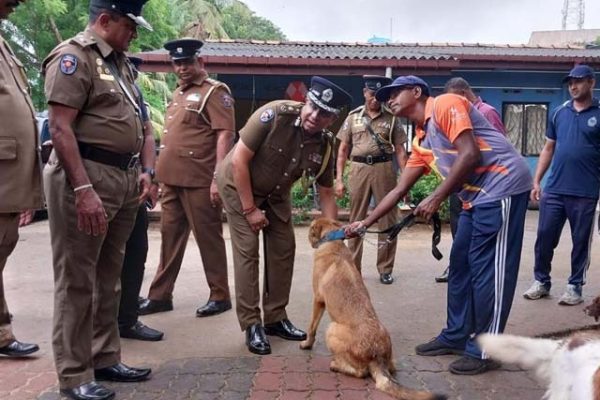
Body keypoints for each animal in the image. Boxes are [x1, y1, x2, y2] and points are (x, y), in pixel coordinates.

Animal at [302, 219, 442, 400]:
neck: (332, 239)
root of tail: (377, 355)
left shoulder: (318, 300)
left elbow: (311, 327)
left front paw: (306, 344)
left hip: (331, 329)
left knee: (360, 372)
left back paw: (336, 365)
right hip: (388, 357)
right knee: (390, 369)